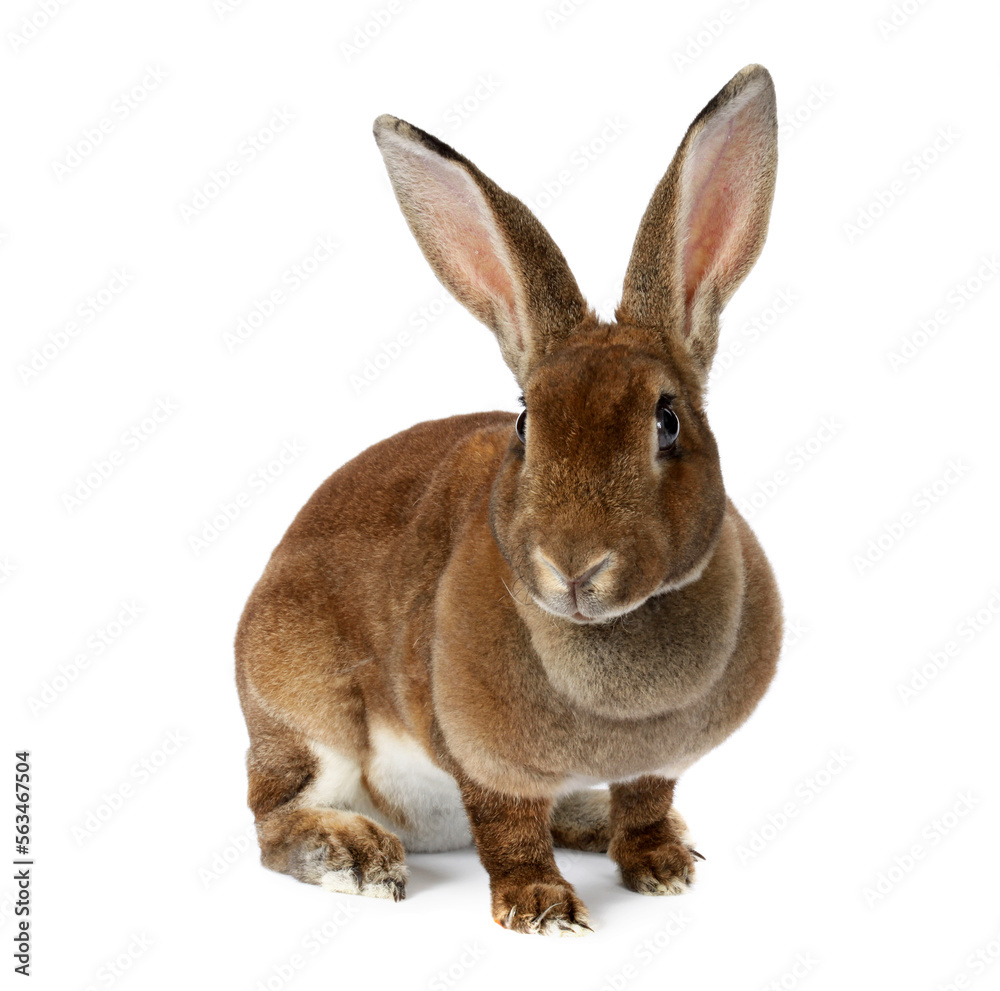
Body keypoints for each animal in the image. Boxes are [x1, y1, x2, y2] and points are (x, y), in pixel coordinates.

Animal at [235, 63, 782, 936]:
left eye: (668, 422)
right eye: (525, 421)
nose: (574, 566)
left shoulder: (657, 762)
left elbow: (647, 798)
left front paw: (662, 864)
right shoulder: (480, 754)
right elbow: (506, 825)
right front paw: (541, 907)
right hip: (304, 709)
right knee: (274, 817)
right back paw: (356, 854)